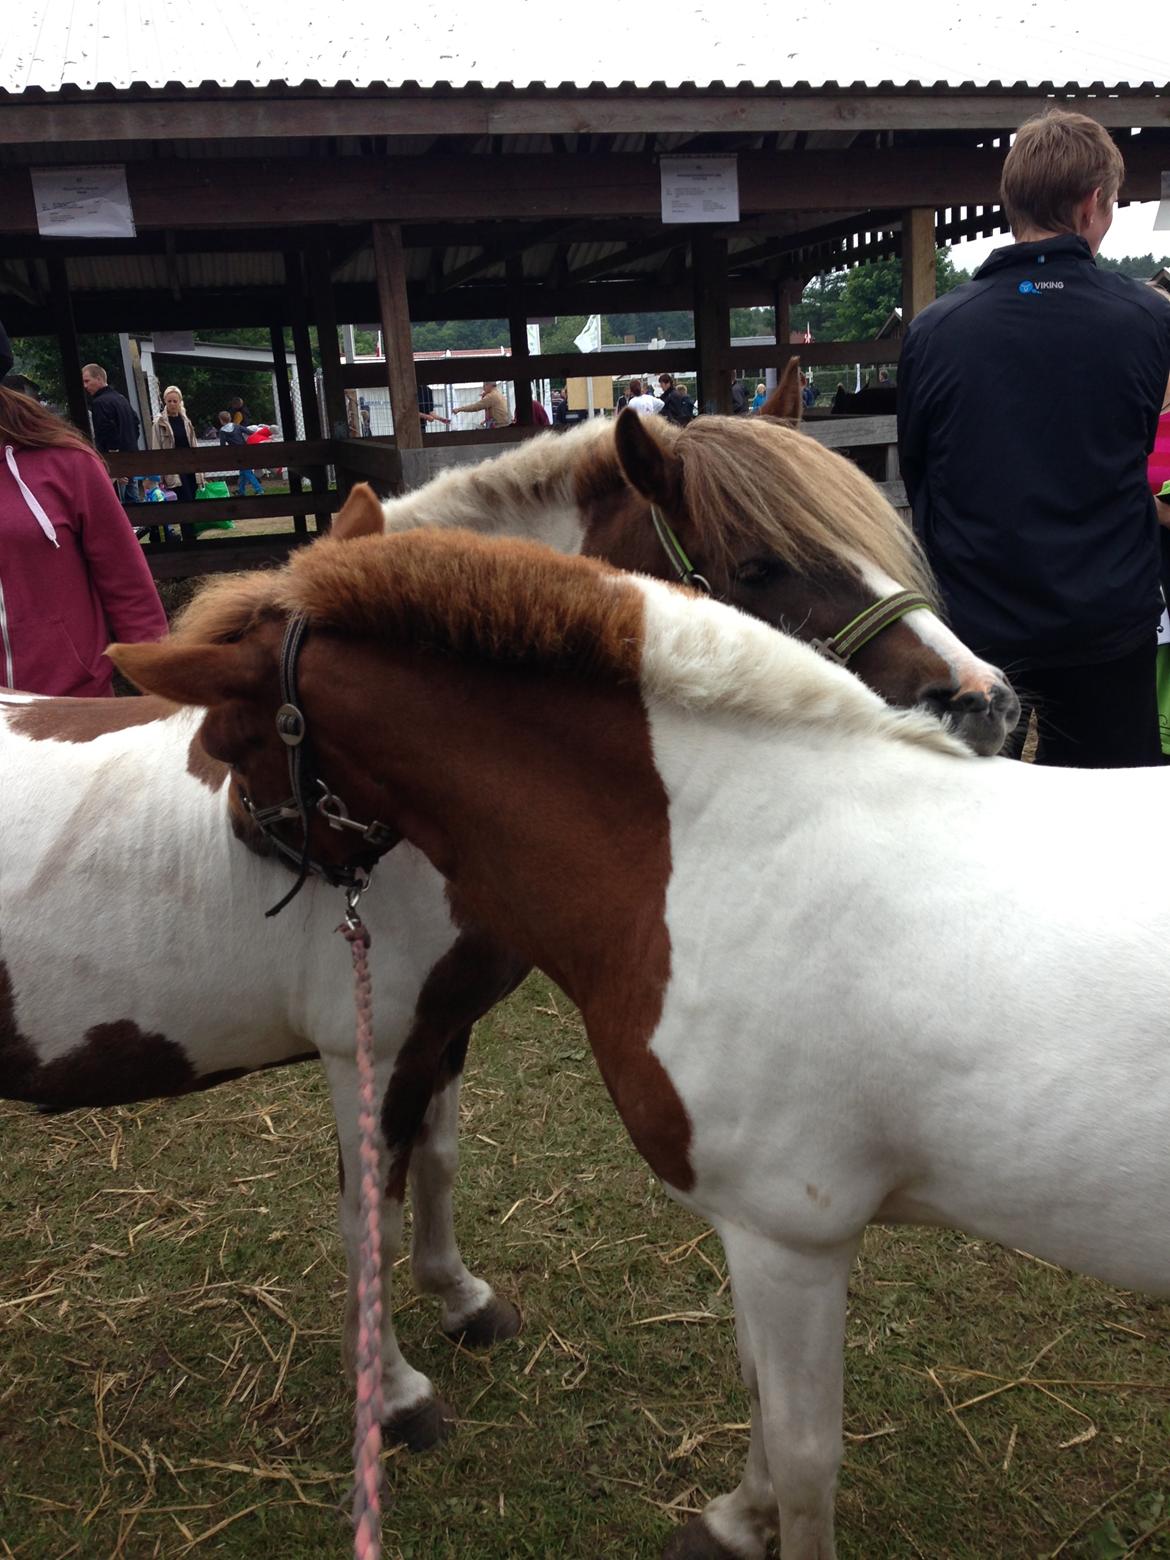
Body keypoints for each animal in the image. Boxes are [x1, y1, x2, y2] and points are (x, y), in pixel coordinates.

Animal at [2, 386, 1017, 1447]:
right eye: (758, 565)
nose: (986, 702)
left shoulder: (440, 1029)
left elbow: (438, 1164)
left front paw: (462, 1300)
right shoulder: (364, 1047)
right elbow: (368, 1209)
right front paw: (396, 1396)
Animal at [116, 527, 1170, 1560]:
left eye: (227, 739)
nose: (250, 839)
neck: (728, 846)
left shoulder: (795, 1235)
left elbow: (805, 1454)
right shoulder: (748, 1229)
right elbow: (755, 1390)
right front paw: (737, 1521)